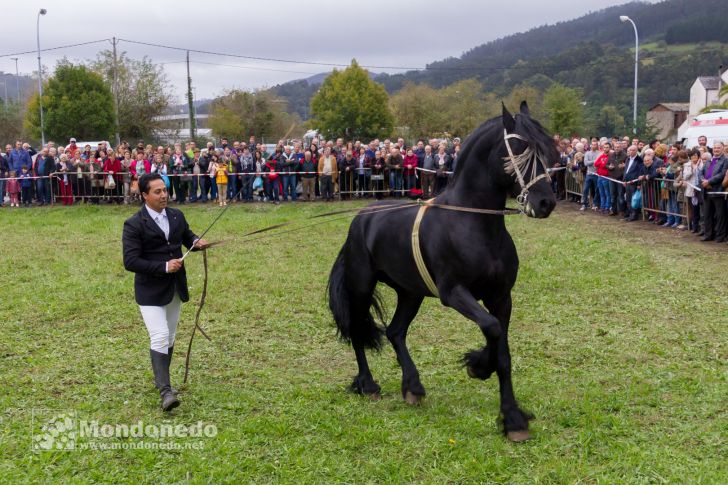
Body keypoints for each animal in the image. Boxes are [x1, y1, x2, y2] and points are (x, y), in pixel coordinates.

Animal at [330, 103, 556, 442]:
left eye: (546, 150)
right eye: (518, 149)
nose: (546, 203)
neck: (473, 224)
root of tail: (361, 219)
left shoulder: (501, 297)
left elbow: (503, 352)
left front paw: (513, 418)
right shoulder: (454, 293)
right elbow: (491, 328)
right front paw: (479, 367)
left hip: (410, 293)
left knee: (395, 331)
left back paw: (412, 387)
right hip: (361, 286)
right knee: (358, 330)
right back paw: (368, 385)